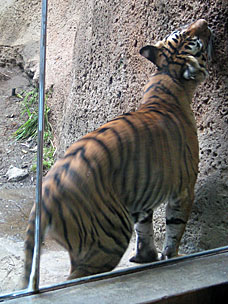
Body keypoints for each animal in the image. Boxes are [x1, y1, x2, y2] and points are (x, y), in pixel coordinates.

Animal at [23, 19, 212, 288]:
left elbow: (144, 227)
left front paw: (146, 256)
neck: (166, 77)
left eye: (182, 30)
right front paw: (171, 256)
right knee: (79, 275)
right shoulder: (184, 189)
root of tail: (45, 195)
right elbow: (176, 227)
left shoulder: (141, 192)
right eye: (196, 41)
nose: (204, 22)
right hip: (109, 237)